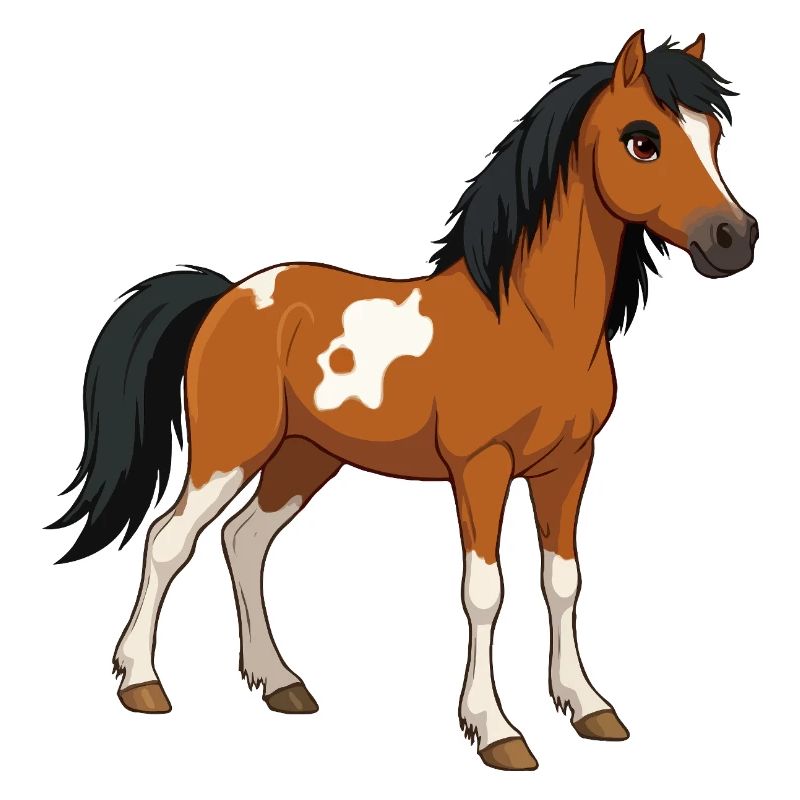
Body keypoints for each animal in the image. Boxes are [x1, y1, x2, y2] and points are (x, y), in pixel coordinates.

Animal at [49, 30, 758, 771]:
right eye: (642, 140)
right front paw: (495, 730)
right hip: (231, 452)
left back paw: (280, 683)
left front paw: (589, 706)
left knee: (244, 542)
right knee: (169, 540)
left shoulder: (569, 466)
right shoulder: (481, 469)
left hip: (305, 459)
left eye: (713, 135)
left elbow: (563, 581)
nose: (735, 239)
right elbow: (485, 592)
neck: (531, 324)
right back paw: (141, 682)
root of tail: (229, 294)